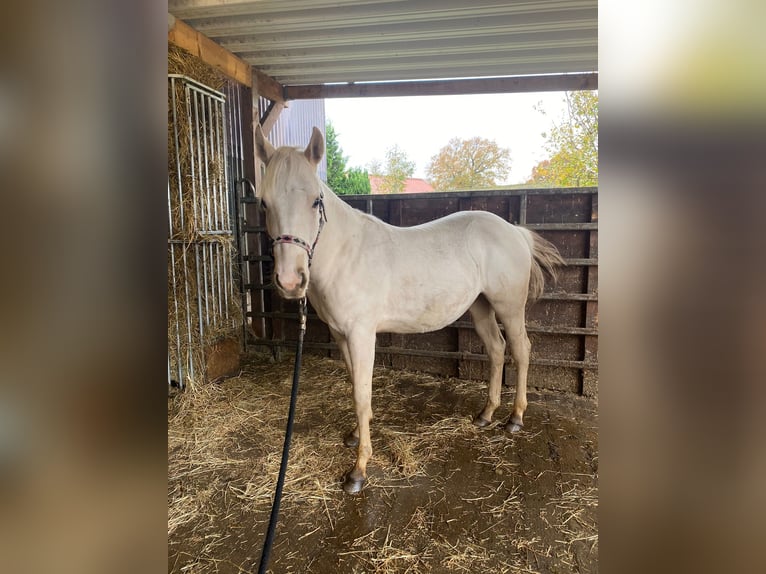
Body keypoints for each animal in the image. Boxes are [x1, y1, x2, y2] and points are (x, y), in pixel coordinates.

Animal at [256, 126, 564, 496]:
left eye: (316, 200)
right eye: (263, 203)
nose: (290, 281)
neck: (346, 253)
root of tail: (514, 231)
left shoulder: (361, 335)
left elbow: (361, 393)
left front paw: (358, 470)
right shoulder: (341, 335)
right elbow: (356, 385)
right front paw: (356, 434)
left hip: (509, 306)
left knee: (520, 350)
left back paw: (515, 418)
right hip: (480, 307)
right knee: (496, 349)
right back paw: (486, 414)